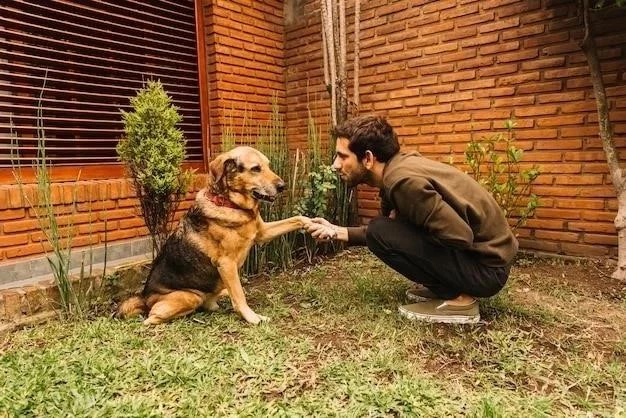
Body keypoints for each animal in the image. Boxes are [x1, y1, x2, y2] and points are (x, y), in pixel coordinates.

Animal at [116, 147, 308, 326]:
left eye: (268, 165)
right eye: (255, 168)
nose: (283, 186)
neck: (230, 204)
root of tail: (144, 297)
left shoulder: (262, 233)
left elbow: (296, 219)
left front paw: (311, 223)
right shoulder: (227, 264)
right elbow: (239, 296)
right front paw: (252, 317)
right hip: (189, 297)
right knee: (151, 317)